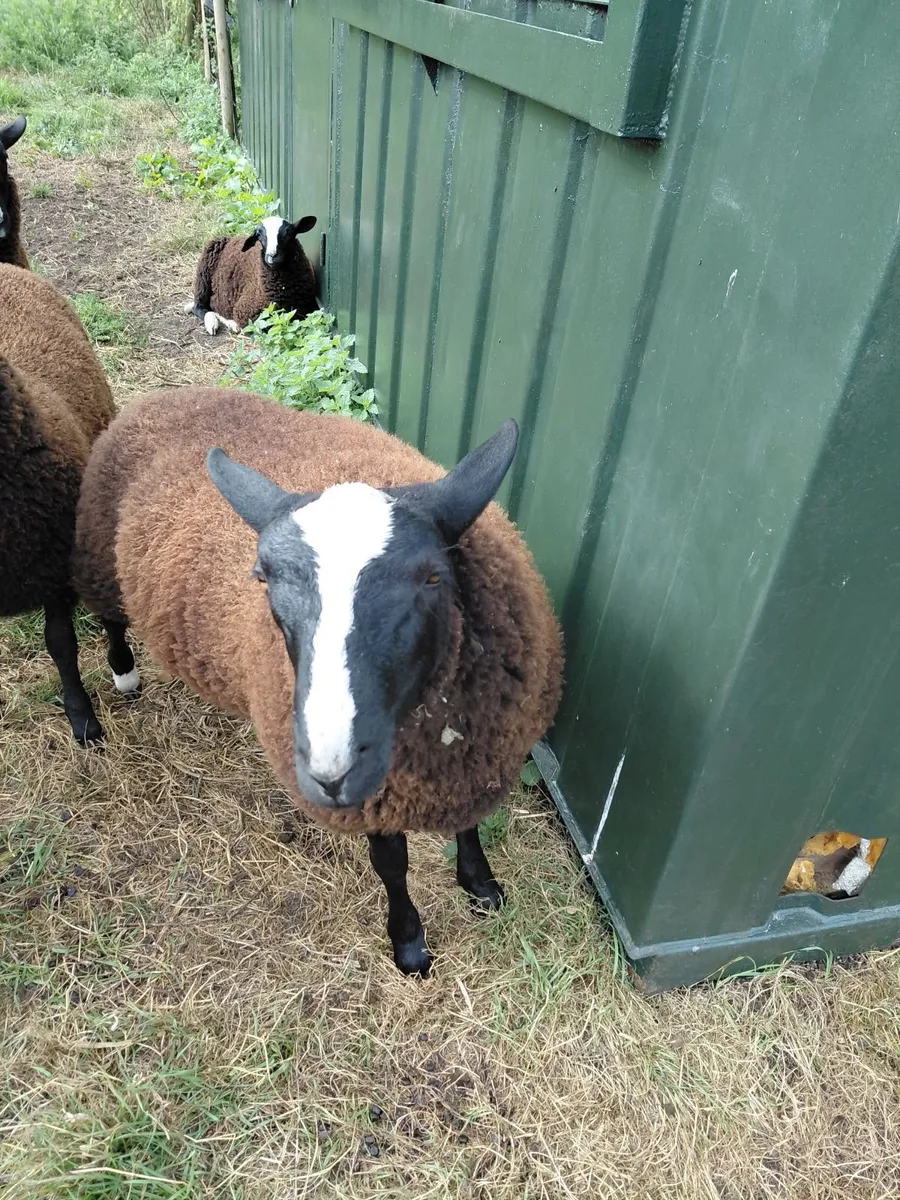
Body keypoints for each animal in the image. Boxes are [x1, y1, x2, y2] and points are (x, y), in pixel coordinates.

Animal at [73, 387, 564, 974]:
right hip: (99, 556)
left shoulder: (477, 755)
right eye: (262, 579)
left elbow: (468, 825)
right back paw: (120, 676)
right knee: (105, 619)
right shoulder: (377, 797)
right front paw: (409, 943)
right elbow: (391, 864)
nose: (332, 770)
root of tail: (164, 396)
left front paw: (482, 886)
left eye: (432, 577)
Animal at [185, 215, 318, 336]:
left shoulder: (304, 310)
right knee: (199, 306)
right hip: (203, 272)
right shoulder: (245, 312)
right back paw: (215, 323)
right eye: (258, 235)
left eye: (289, 232)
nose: (272, 256)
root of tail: (232, 238)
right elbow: (265, 327)